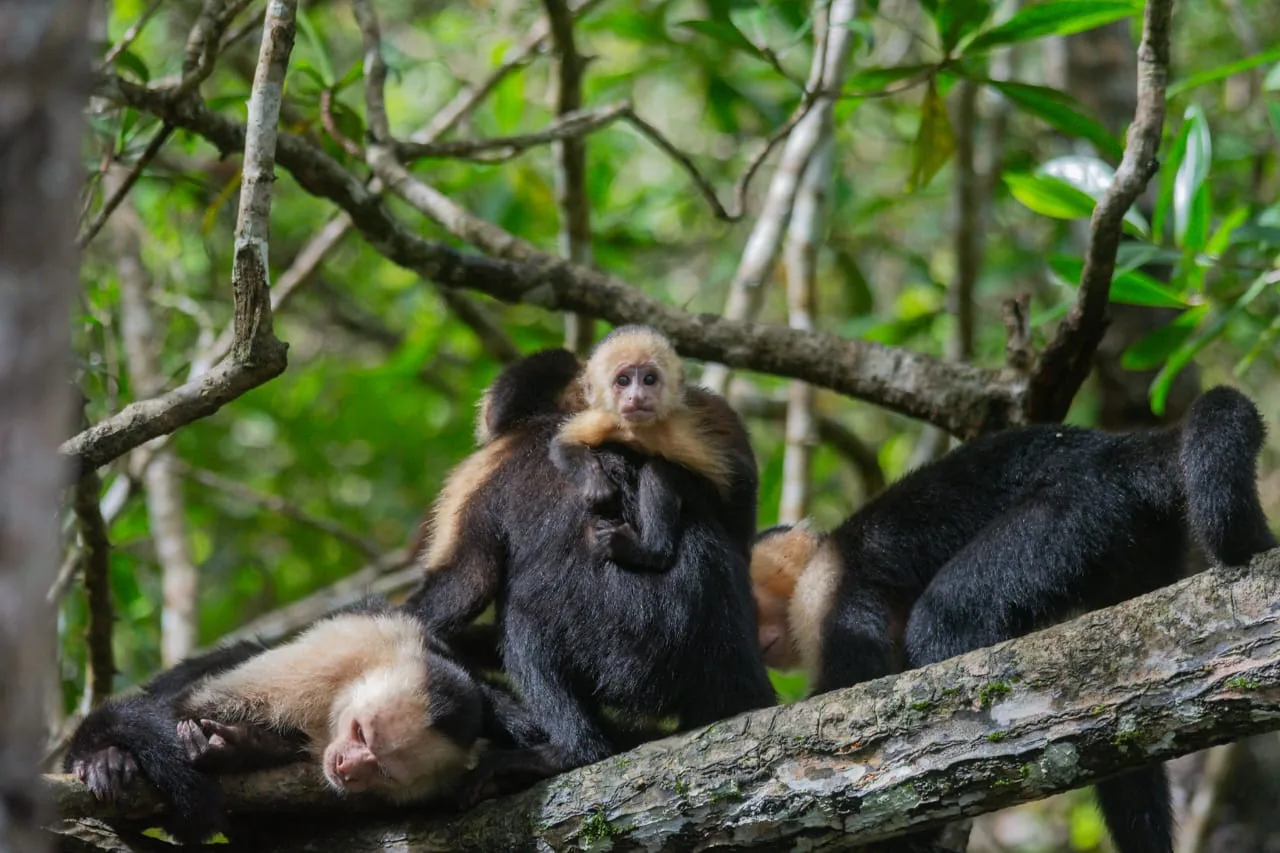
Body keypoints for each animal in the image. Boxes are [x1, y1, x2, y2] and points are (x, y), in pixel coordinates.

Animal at [64, 599, 539, 844]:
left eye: (383, 769)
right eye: (360, 732)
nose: (347, 767)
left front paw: (245, 748)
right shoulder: (341, 649)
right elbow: (182, 708)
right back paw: (105, 759)